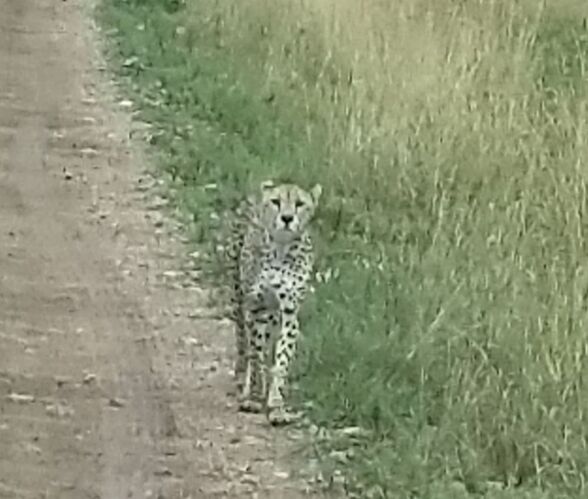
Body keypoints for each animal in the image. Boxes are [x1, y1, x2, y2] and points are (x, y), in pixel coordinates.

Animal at [227, 180, 324, 426]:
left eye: (299, 203)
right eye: (276, 201)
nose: (287, 218)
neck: (281, 247)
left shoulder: (289, 312)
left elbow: (281, 361)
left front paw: (277, 406)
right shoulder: (255, 306)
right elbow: (256, 353)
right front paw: (253, 397)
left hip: (271, 313)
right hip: (239, 297)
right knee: (243, 342)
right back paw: (243, 379)